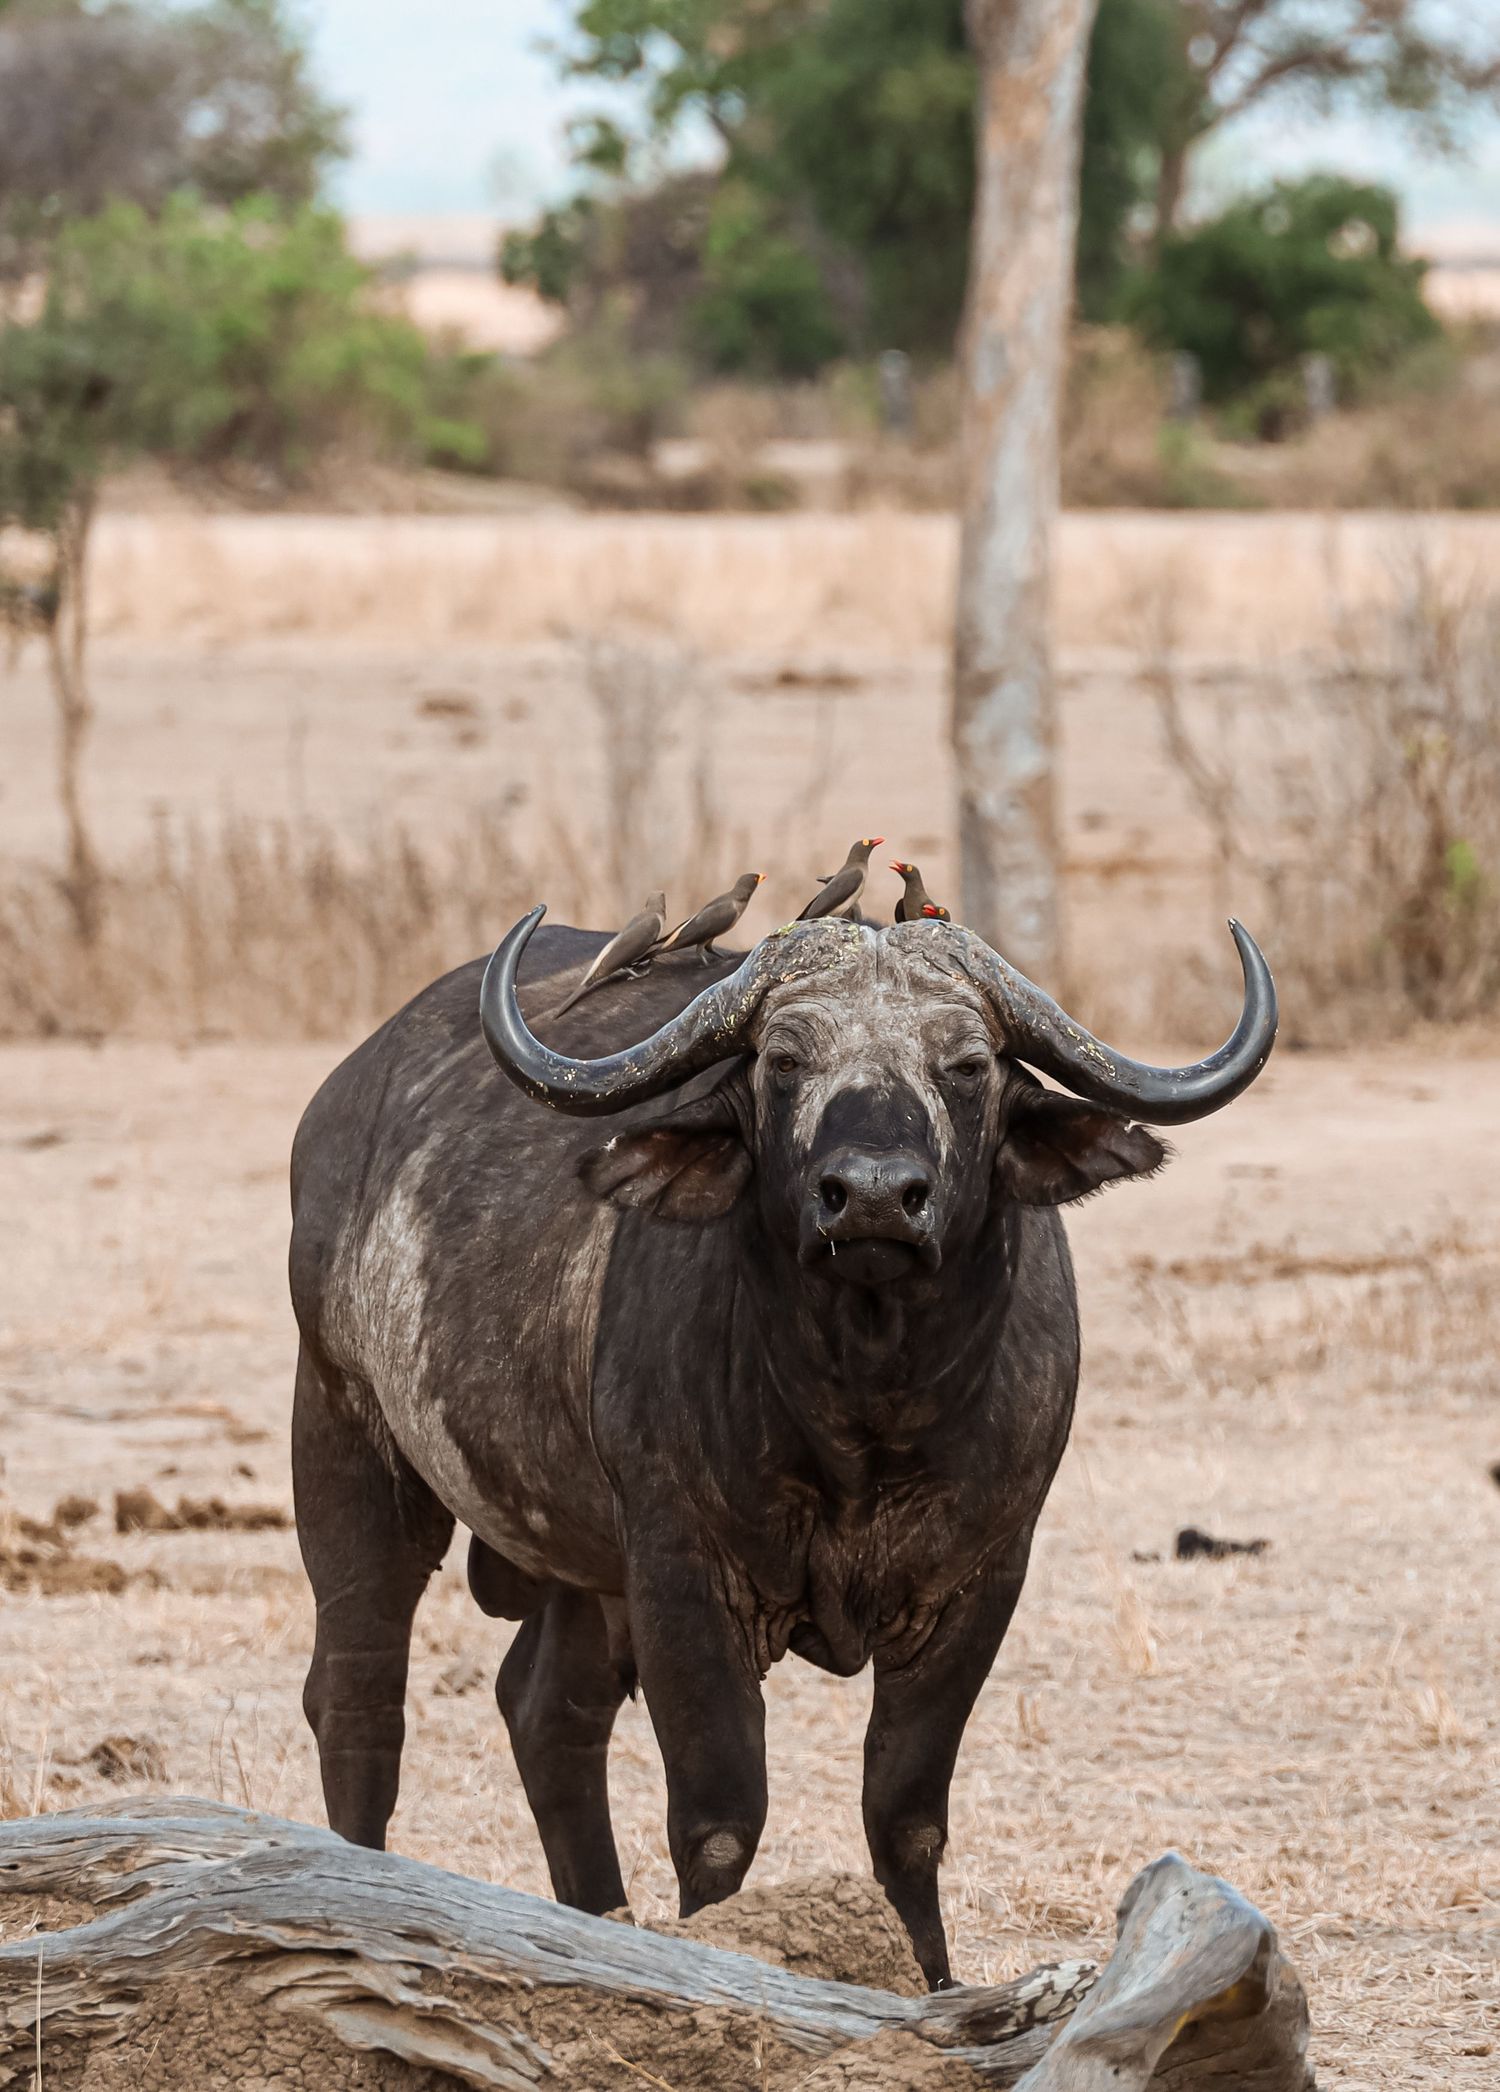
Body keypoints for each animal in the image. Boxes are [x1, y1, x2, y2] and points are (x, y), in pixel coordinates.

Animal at [289, 908, 1275, 1986]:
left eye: (968, 1063)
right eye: (787, 1061)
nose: (875, 1197)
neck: (862, 1415)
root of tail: (347, 1097)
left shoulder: (981, 1578)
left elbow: (905, 1814)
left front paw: (930, 1978)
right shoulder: (681, 1575)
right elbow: (720, 1815)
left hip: (584, 1562)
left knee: (548, 1710)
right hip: (345, 1438)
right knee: (359, 1696)